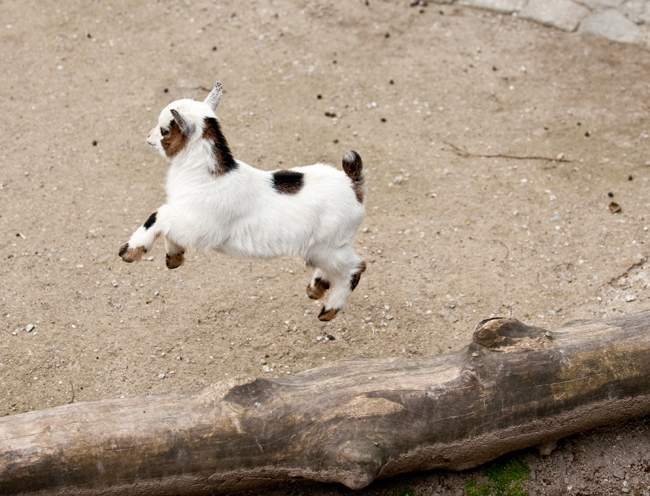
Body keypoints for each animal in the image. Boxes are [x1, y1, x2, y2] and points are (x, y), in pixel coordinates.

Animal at [117, 81, 364, 322]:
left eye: (164, 130)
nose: (148, 136)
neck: (205, 174)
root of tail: (353, 184)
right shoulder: (186, 218)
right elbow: (168, 224)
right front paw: (174, 258)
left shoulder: (202, 228)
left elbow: (159, 215)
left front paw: (129, 251)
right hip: (327, 247)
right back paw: (316, 289)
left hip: (327, 247)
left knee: (356, 268)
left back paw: (329, 309)